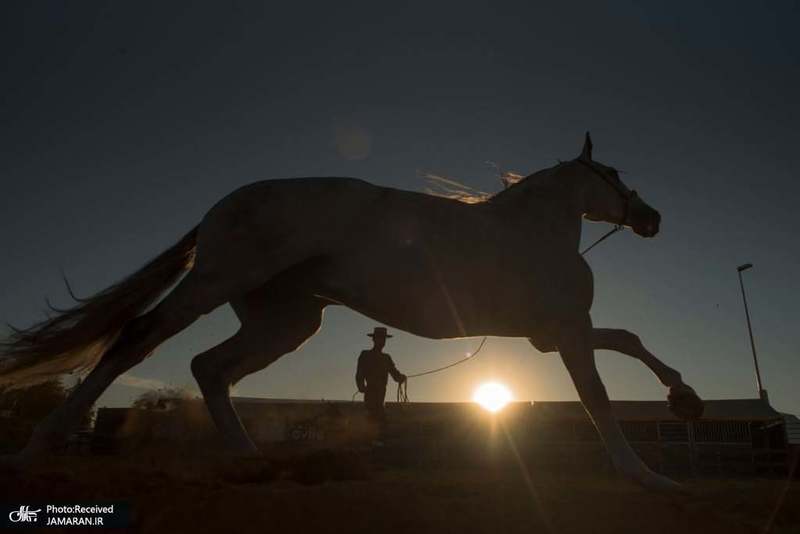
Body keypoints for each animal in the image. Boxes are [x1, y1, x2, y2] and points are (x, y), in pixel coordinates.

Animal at [0, 134, 700, 494]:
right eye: (614, 174)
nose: (652, 218)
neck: (530, 233)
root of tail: (219, 209)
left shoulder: (548, 336)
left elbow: (628, 339)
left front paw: (684, 398)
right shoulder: (567, 335)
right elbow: (599, 396)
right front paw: (648, 476)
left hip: (286, 323)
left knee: (209, 369)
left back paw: (253, 461)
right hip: (217, 287)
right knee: (136, 340)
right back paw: (35, 450)